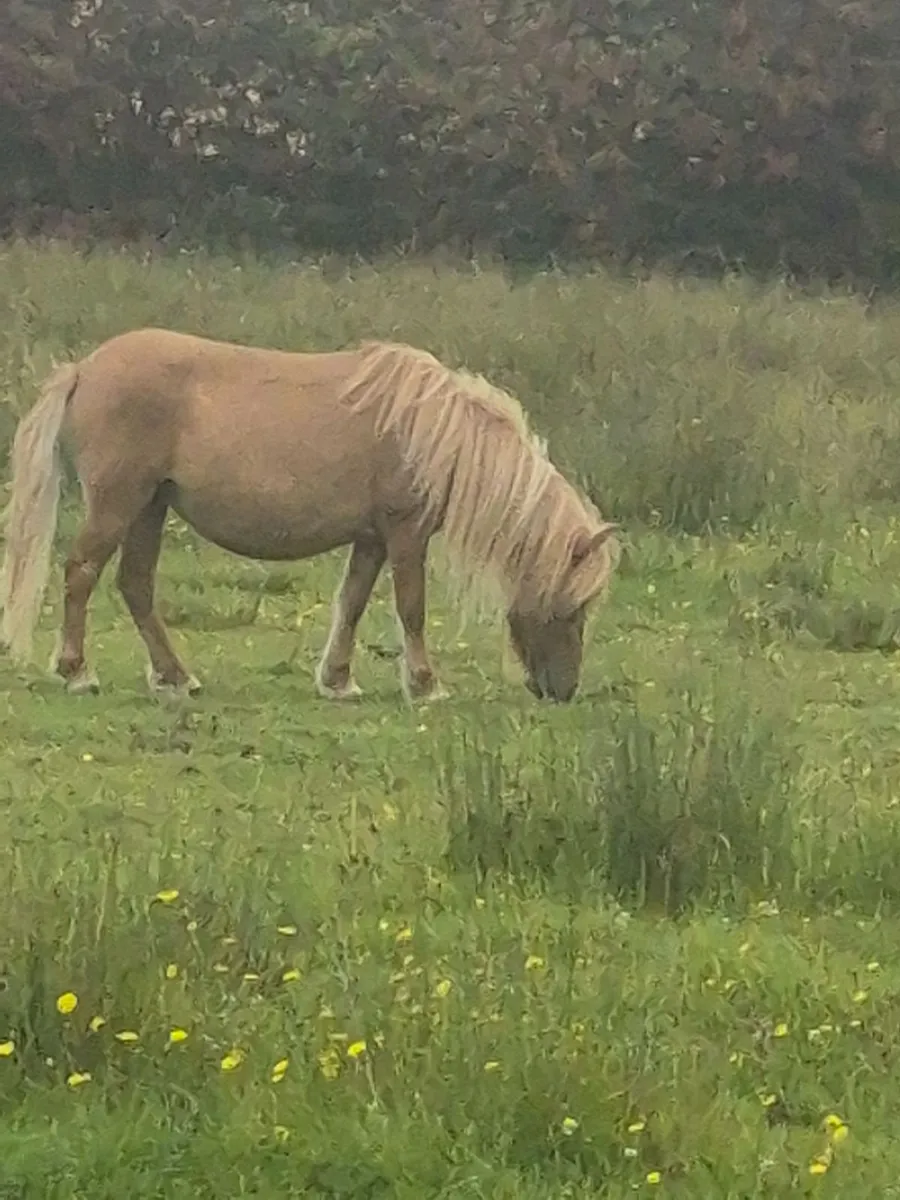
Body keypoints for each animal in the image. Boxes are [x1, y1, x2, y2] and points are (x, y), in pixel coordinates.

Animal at [1, 328, 618, 703]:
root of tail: (84, 369)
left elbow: (352, 604)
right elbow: (411, 609)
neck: (435, 431)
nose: (563, 691)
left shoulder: (371, 539)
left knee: (135, 585)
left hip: (150, 508)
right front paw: (425, 685)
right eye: (573, 608)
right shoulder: (405, 533)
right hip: (119, 503)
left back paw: (176, 677)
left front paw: (339, 681)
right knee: (81, 574)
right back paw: (78, 672)